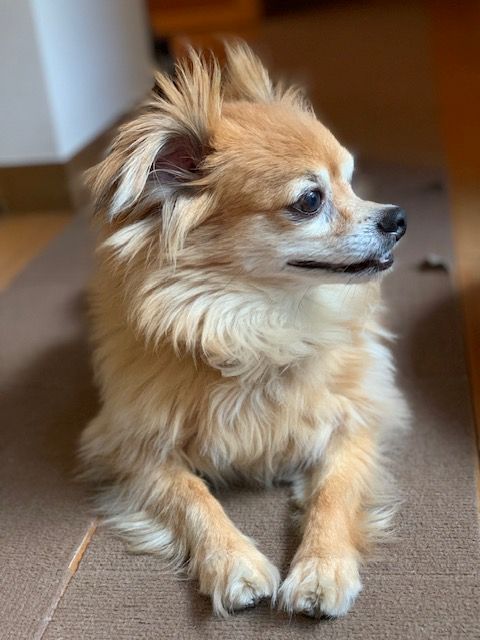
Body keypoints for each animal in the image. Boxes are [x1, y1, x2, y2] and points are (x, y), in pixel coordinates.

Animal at [80, 43, 408, 619]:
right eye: (310, 200)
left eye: (351, 178)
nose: (397, 217)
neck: (257, 321)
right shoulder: (130, 451)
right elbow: (191, 495)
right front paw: (232, 562)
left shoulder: (354, 422)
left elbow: (334, 493)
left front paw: (322, 567)